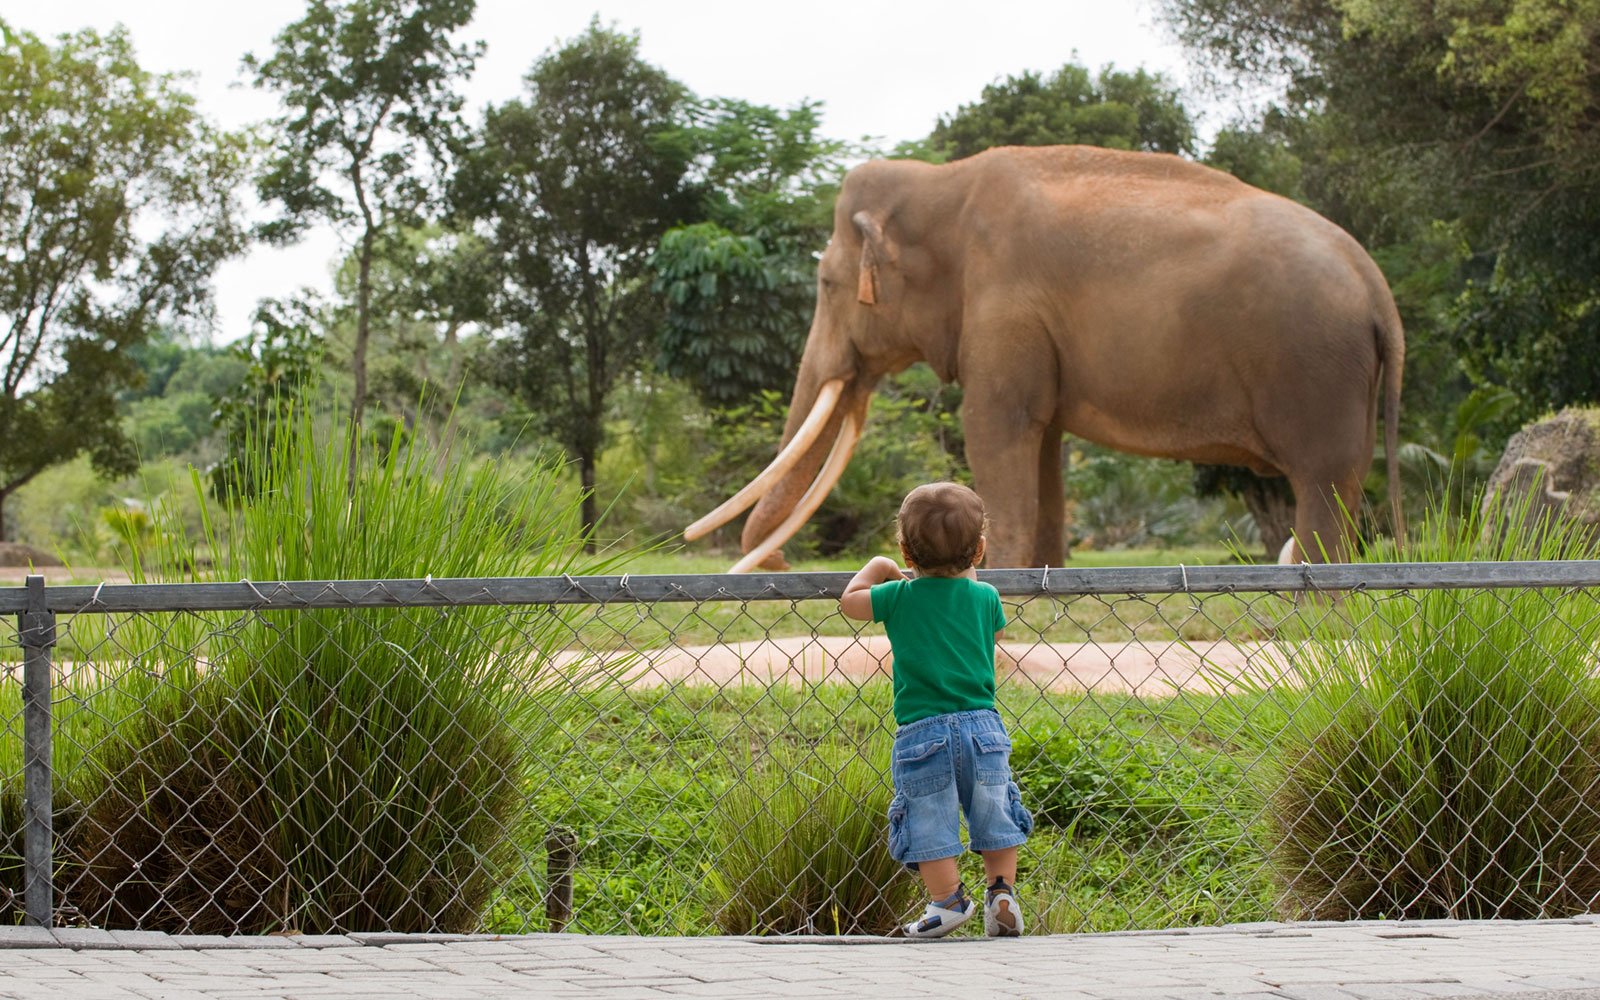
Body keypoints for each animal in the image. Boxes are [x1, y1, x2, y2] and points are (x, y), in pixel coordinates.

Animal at [688, 145, 1401, 572]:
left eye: (827, 285)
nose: (780, 565)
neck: (941, 181)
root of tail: (1378, 289)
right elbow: (1044, 446)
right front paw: (1044, 582)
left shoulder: (1004, 305)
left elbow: (994, 429)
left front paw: (996, 582)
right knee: (1344, 480)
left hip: (1315, 370)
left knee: (1321, 481)